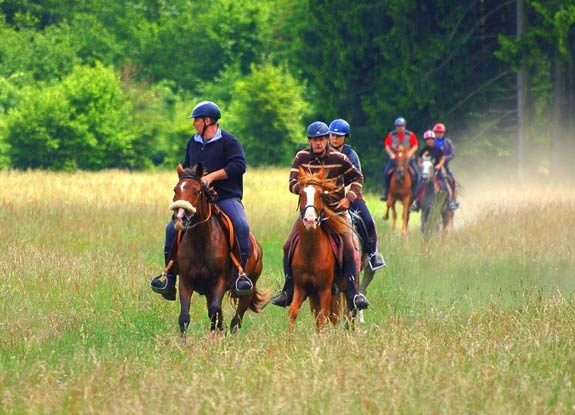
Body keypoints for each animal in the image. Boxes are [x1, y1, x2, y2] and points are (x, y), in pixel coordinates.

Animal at [171, 163, 270, 334]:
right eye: (175, 190)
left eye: (197, 191)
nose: (179, 218)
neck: (201, 242)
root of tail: (257, 247)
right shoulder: (186, 281)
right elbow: (184, 317)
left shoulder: (219, 281)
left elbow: (214, 312)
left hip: (247, 291)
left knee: (236, 320)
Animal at [288, 167, 352, 334]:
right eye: (301, 194)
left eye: (321, 194)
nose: (310, 221)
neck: (311, 252)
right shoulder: (302, 288)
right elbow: (293, 312)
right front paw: (289, 338)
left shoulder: (325, 290)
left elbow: (324, 317)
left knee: (335, 316)